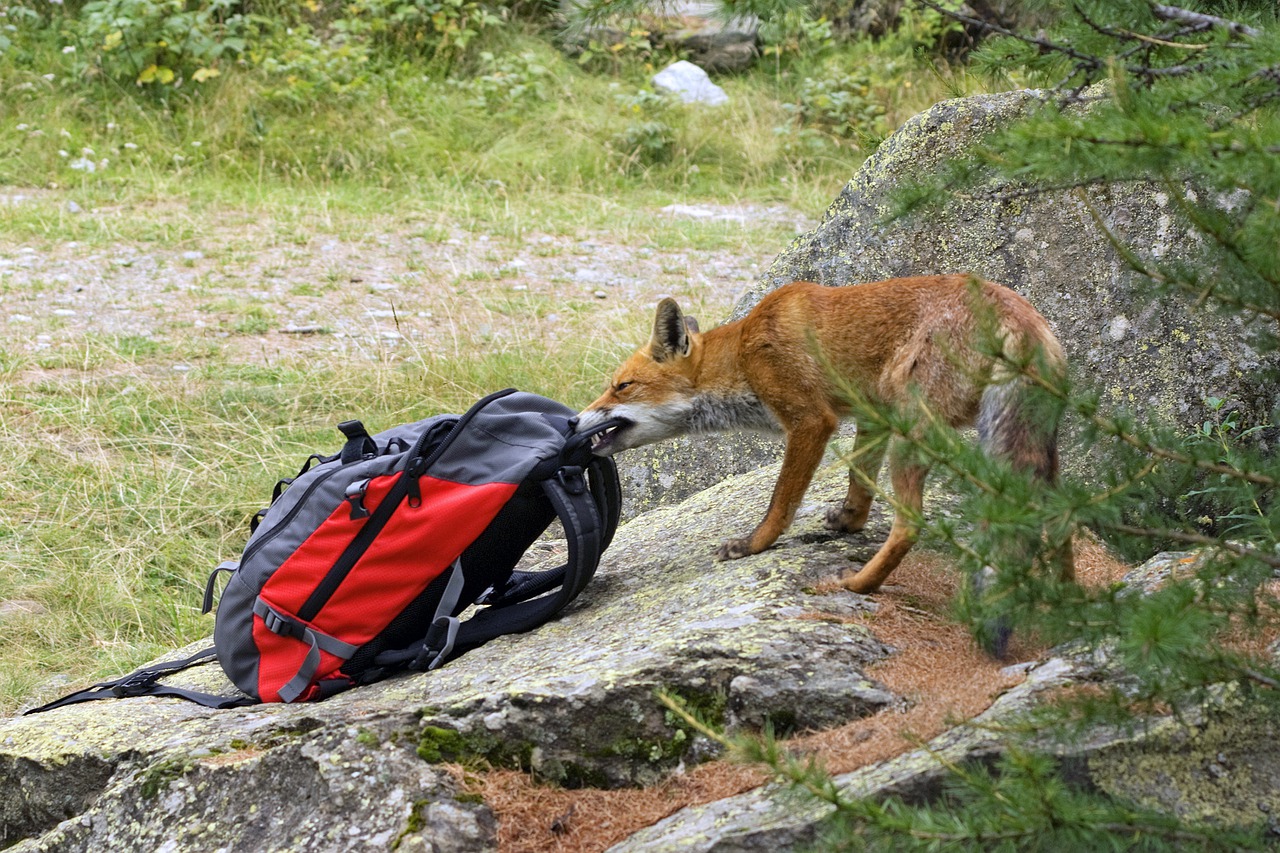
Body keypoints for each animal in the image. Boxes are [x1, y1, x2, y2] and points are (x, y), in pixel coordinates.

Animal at [575, 275, 1074, 594]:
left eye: (621, 386)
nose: (572, 421)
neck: (741, 354)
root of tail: (1024, 318)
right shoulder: (873, 413)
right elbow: (859, 480)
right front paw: (849, 522)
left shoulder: (811, 420)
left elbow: (780, 502)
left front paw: (754, 545)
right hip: (1035, 447)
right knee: (1060, 520)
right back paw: (1067, 602)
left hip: (914, 434)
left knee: (911, 524)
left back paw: (857, 584)